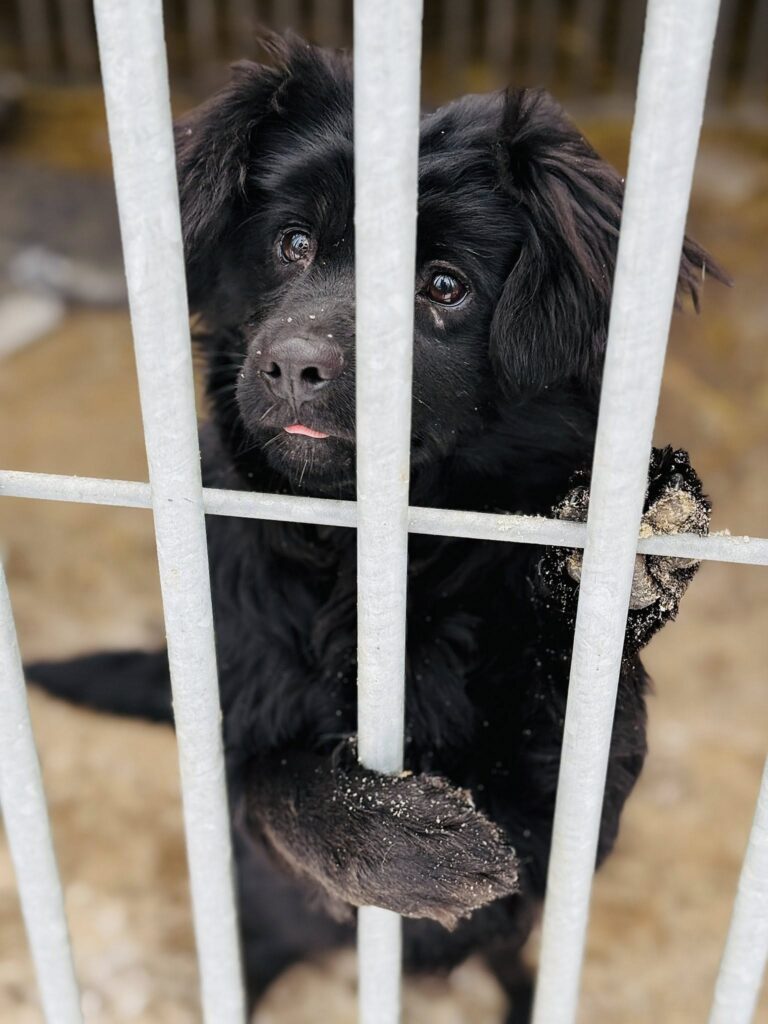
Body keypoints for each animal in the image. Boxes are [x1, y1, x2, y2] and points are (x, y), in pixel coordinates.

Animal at [27, 37, 724, 1023]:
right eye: (293, 244)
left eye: (445, 287)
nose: (291, 365)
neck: (367, 558)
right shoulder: (237, 738)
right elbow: (276, 783)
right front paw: (407, 843)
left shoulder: (580, 817)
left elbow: (570, 727)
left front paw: (615, 553)